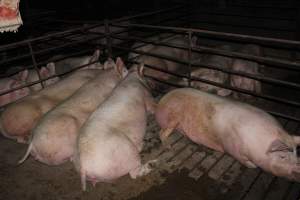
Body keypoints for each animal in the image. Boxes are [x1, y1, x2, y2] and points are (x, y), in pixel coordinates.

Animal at [156, 88, 300, 182]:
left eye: (296, 153)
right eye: (282, 156)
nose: (298, 169)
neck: (256, 144)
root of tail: (162, 101)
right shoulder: (232, 148)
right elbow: (244, 161)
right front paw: (253, 166)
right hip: (172, 117)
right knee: (161, 133)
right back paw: (168, 146)